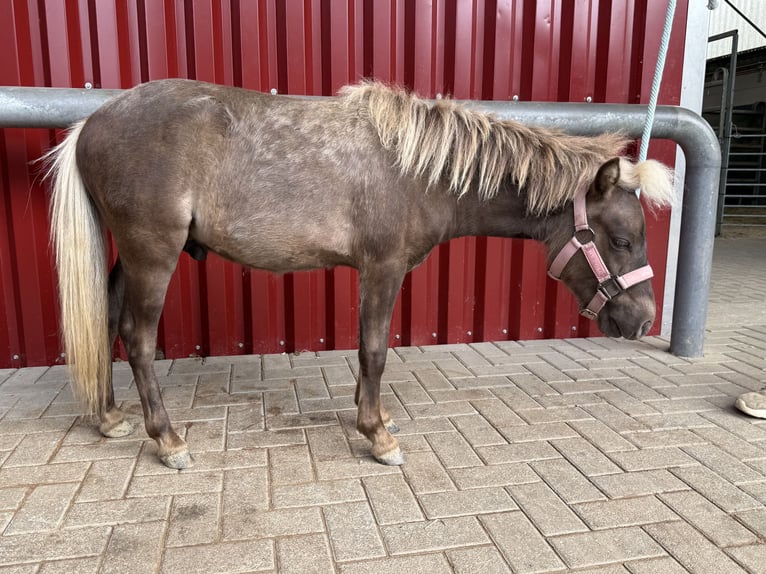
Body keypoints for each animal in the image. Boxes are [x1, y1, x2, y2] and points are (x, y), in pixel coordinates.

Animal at [45, 79, 674, 469]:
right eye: (622, 239)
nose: (644, 321)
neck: (418, 171)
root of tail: (92, 122)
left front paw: (372, 414)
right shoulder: (382, 269)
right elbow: (374, 348)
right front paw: (378, 435)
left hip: (131, 255)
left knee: (106, 319)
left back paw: (109, 418)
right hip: (154, 252)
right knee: (138, 338)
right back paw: (169, 440)